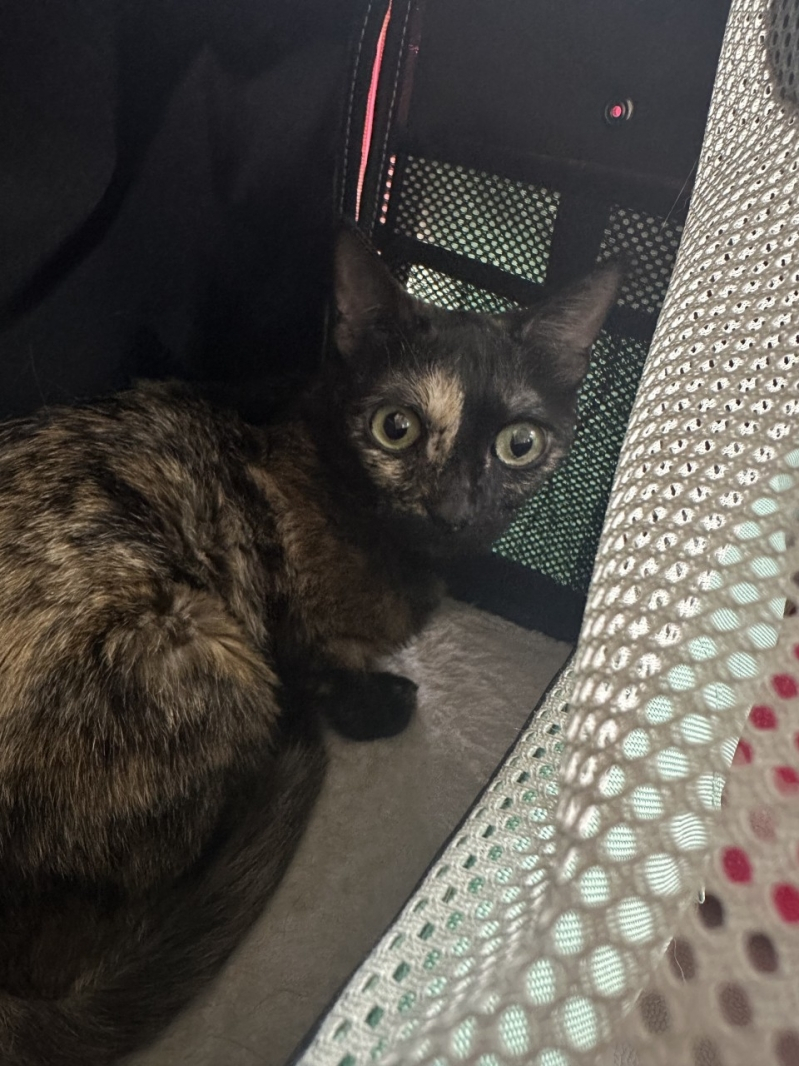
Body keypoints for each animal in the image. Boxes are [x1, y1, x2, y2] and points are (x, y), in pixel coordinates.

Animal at [0, 225, 620, 1065]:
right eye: (396, 427)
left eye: (518, 444)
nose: (454, 507)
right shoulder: (271, 610)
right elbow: (316, 664)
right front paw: (372, 700)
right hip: (202, 643)